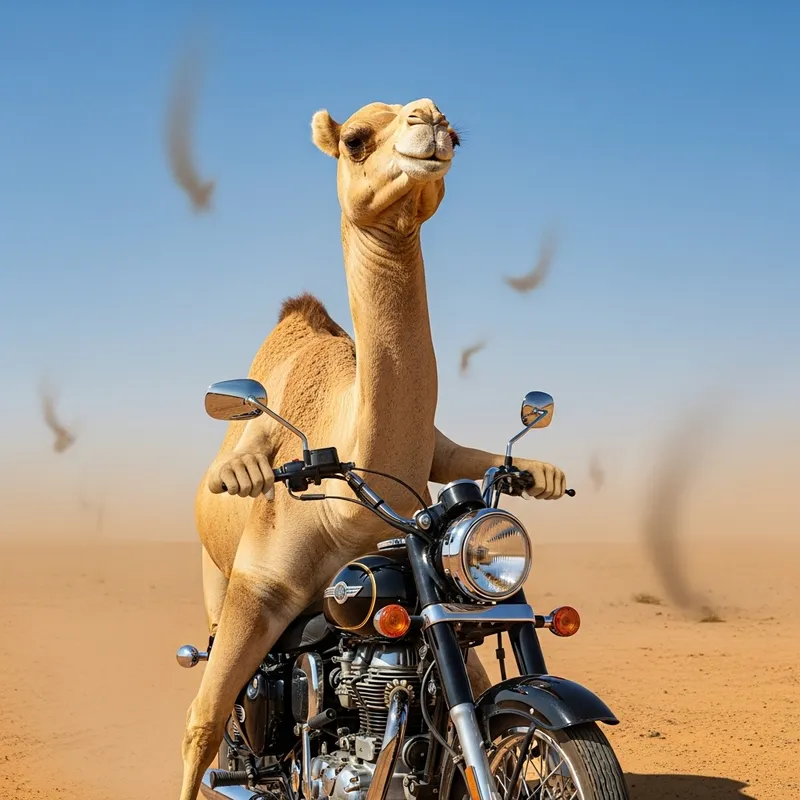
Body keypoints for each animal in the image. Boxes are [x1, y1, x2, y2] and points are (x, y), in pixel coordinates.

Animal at [182, 98, 567, 800]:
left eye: (457, 131)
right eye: (356, 139)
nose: (431, 117)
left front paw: (538, 470)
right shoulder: (262, 579)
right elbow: (203, 720)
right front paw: (246, 469)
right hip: (221, 583)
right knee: (212, 717)